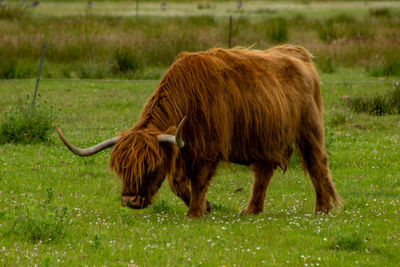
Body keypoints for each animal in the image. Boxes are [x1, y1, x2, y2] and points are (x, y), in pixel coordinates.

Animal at [55, 45, 338, 218]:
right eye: (121, 169)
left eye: (148, 167)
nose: (130, 201)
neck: (189, 97)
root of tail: (297, 52)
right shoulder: (182, 150)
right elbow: (177, 183)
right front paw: (206, 206)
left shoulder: (209, 149)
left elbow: (199, 181)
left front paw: (195, 212)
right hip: (263, 139)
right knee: (263, 174)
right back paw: (251, 210)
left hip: (309, 130)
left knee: (317, 164)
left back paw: (323, 208)